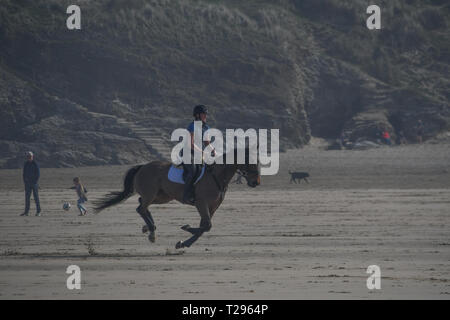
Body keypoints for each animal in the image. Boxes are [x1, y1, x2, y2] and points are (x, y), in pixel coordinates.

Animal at [93, 151, 260, 249]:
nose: (256, 182)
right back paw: (151, 231)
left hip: (162, 196)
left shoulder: (212, 207)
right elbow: (206, 226)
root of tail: (142, 166)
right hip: (152, 194)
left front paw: (183, 242)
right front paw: (186, 228)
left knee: (142, 204)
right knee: (141, 207)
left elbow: (204, 227)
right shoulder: (201, 204)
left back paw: (149, 228)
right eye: (250, 162)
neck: (216, 176)